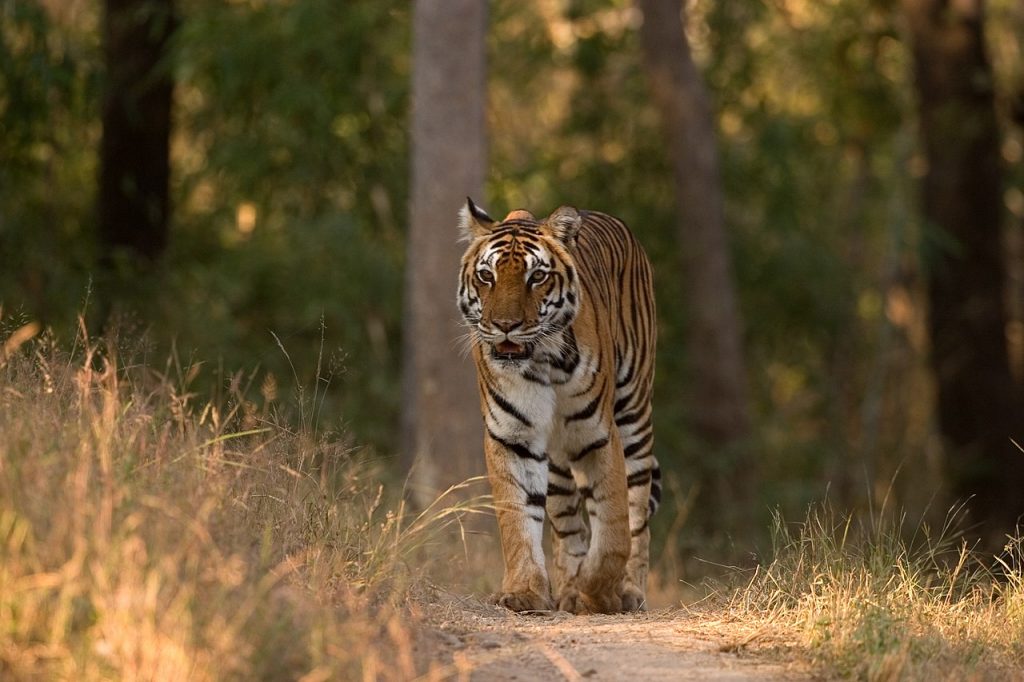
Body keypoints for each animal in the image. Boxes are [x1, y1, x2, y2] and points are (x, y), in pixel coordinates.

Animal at [454, 196, 659, 610]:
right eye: (487, 276)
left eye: (536, 277)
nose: (505, 326)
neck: (540, 362)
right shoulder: (513, 436)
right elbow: (518, 518)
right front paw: (524, 592)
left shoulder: (598, 433)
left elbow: (613, 524)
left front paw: (599, 593)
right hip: (559, 463)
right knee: (568, 526)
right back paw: (566, 589)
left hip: (634, 414)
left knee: (636, 511)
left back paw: (627, 590)